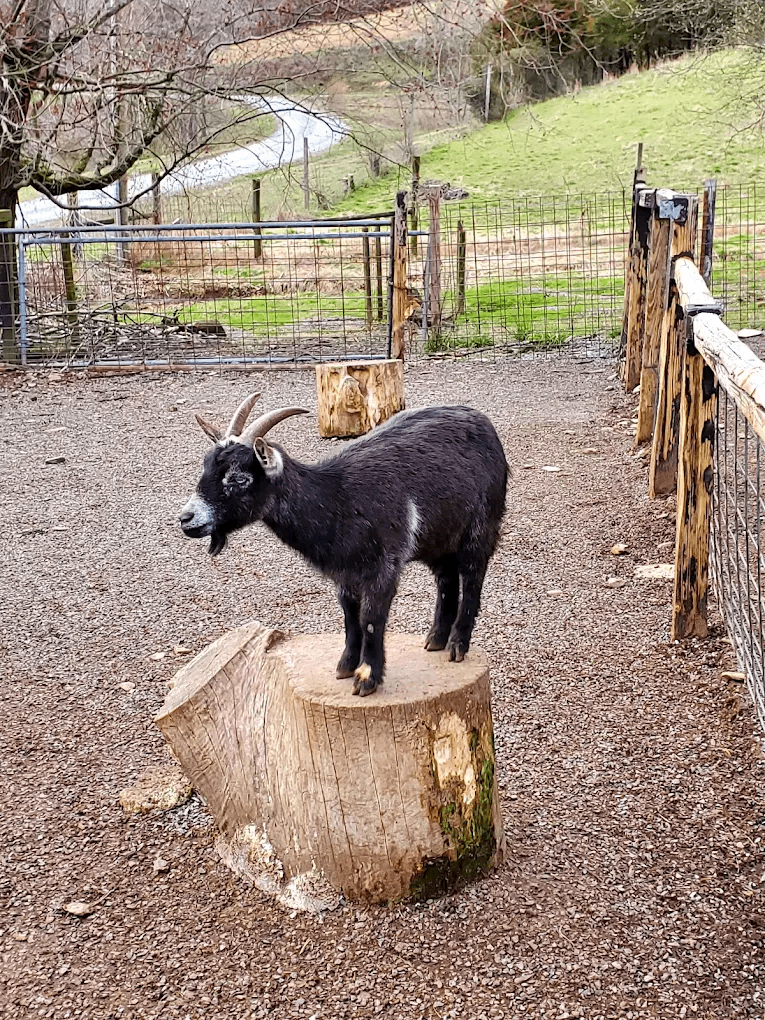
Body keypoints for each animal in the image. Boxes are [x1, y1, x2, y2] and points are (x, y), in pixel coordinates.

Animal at [179, 393, 507, 696]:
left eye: (238, 478)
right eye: (206, 468)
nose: (186, 518)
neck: (337, 497)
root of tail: (485, 424)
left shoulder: (383, 566)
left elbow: (371, 618)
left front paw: (367, 677)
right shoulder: (345, 573)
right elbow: (350, 617)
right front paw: (346, 666)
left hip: (481, 527)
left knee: (473, 578)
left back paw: (457, 646)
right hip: (438, 538)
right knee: (447, 579)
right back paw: (435, 640)